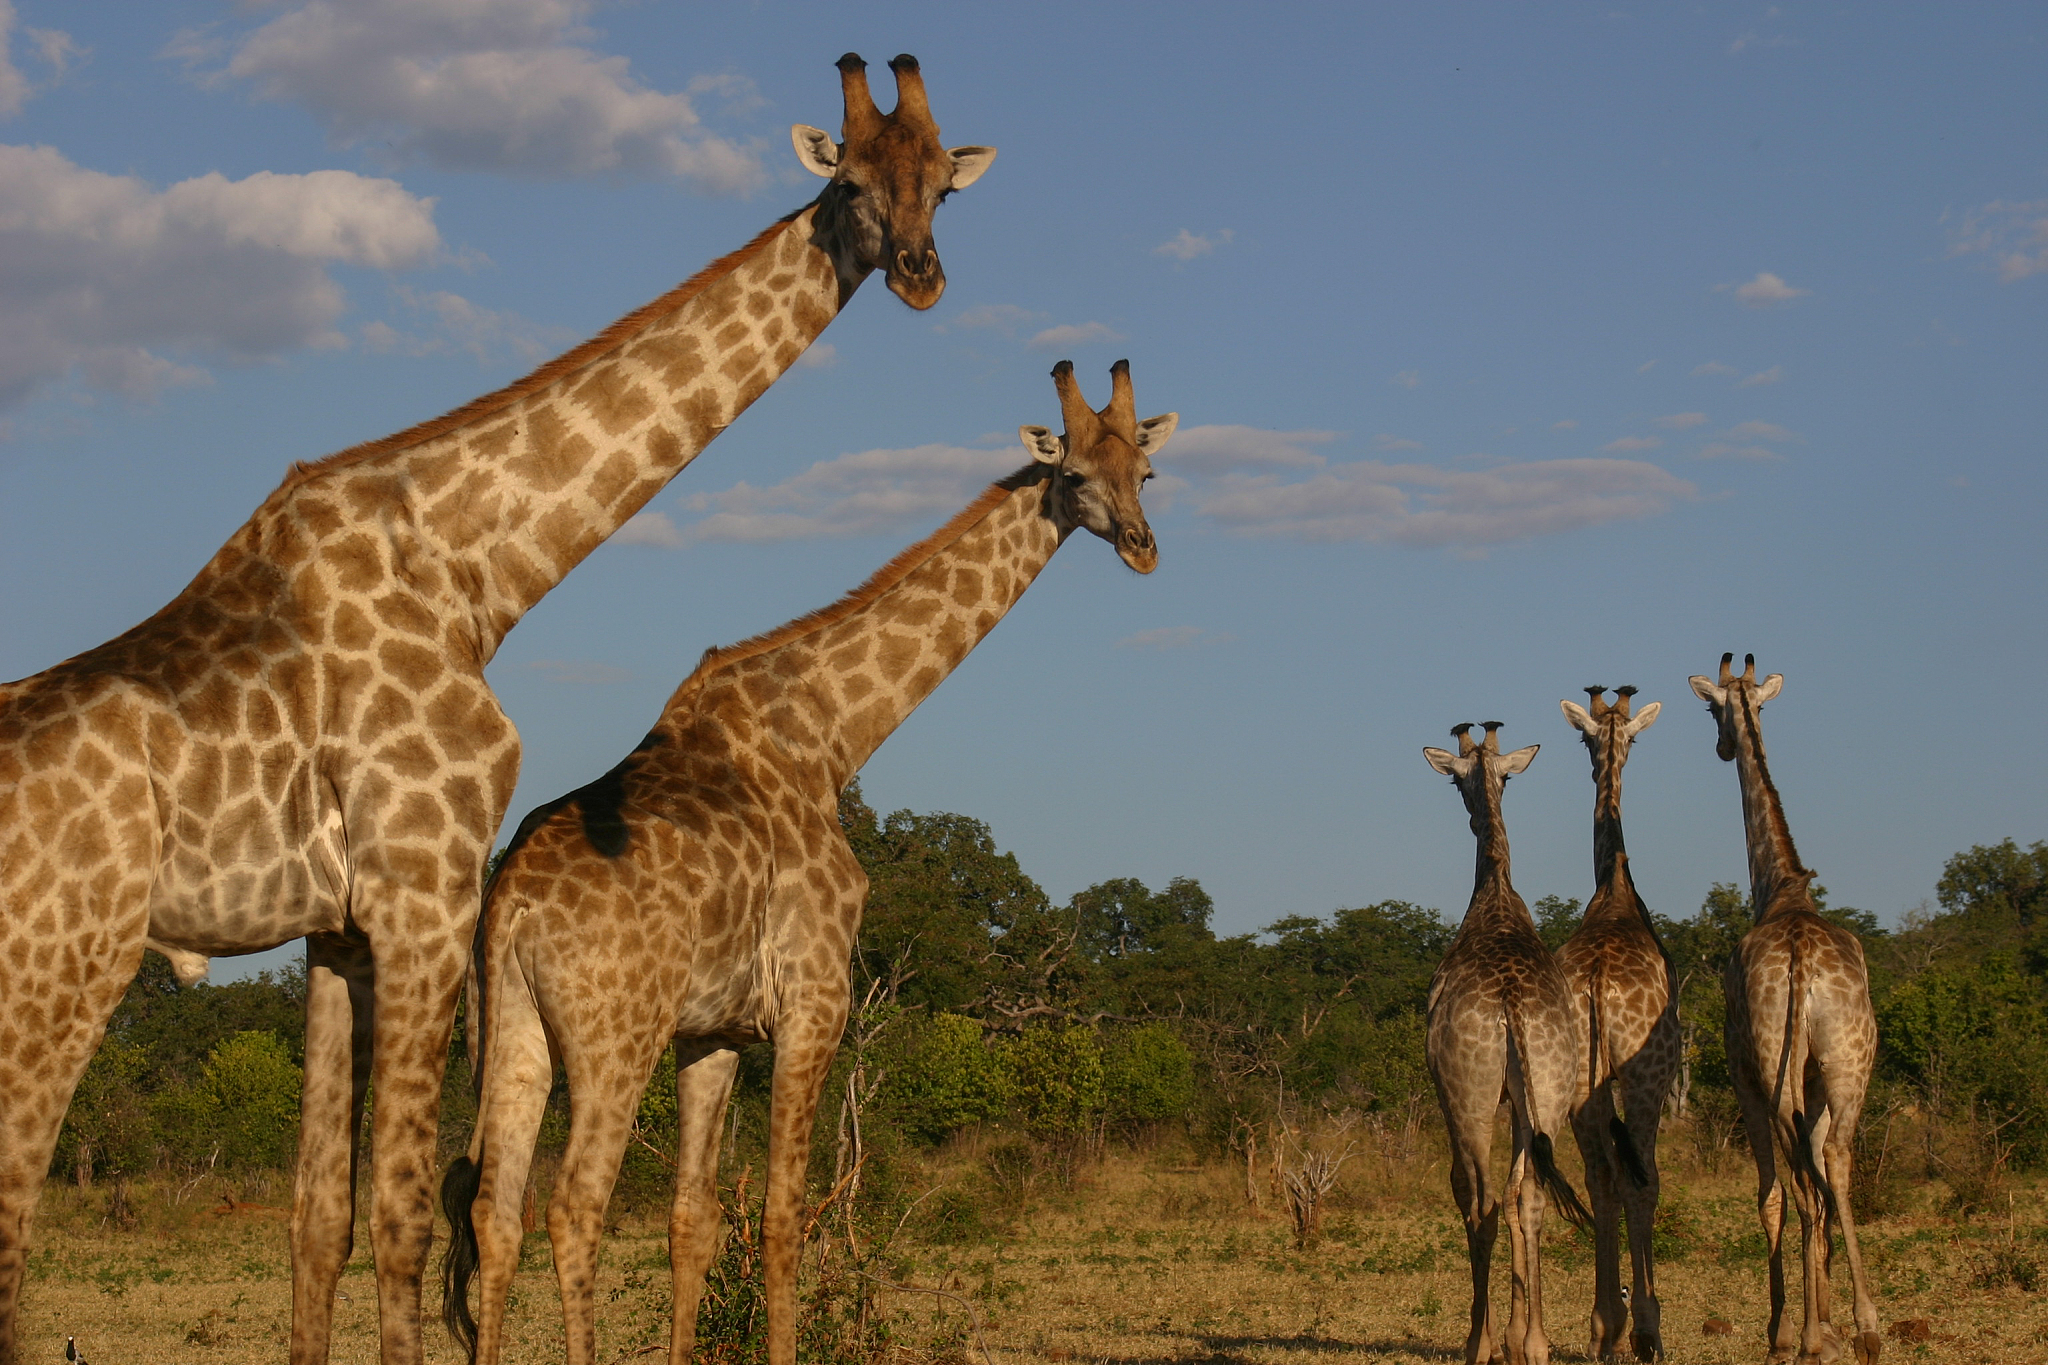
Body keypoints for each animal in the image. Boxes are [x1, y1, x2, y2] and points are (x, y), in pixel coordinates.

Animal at [0, 53, 994, 1365]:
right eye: (850, 180)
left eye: (941, 182)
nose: (923, 275)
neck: (473, 572)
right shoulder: (424, 893)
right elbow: (411, 1220)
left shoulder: (339, 930)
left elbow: (319, 1220)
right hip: (64, 966)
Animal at [437, 360, 1173, 1365]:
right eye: (1076, 476)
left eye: (1148, 469)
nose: (1142, 548)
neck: (832, 733)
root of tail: (508, 899)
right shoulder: (815, 1000)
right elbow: (786, 1214)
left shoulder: (712, 1032)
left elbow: (694, 1220)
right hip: (611, 1035)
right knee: (573, 1207)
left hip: (511, 1031)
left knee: (494, 1212)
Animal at [1423, 722, 1593, 1365]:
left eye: (1454, 780)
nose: (1471, 811)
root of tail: (1510, 1004)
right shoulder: (1523, 1101)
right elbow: (1527, 1197)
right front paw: (1521, 1338)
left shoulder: (1452, 1097)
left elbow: (1466, 1194)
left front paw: (1490, 1339)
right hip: (1550, 1090)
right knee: (1530, 1197)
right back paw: (1536, 1341)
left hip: (1470, 1099)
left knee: (1484, 1200)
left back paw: (1480, 1342)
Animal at [1688, 655, 1881, 1365]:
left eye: (1712, 709)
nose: (1722, 745)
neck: (1781, 890)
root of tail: (1801, 961)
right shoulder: (1819, 1080)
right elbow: (1821, 1180)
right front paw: (1827, 1319)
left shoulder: (1743, 1073)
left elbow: (1767, 1193)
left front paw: (1783, 1328)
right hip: (1849, 1063)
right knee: (1838, 1167)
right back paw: (1865, 1324)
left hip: (1777, 1067)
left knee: (1797, 1183)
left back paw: (1805, 1336)